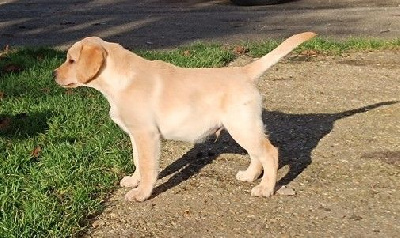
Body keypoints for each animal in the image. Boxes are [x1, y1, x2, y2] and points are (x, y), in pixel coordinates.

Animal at [54, 32, 316, 202]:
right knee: (257, 154)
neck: (120, 80)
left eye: (71, 60)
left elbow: (148, 166)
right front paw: (134, 180)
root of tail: (243, 71)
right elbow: (138, 160)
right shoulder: (135, 135)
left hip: (242, 126)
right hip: (243, 127)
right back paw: (250, 176)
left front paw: (141, 193)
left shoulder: (147, 135)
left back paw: (266, 189)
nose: (53, 74)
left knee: (270, 153)